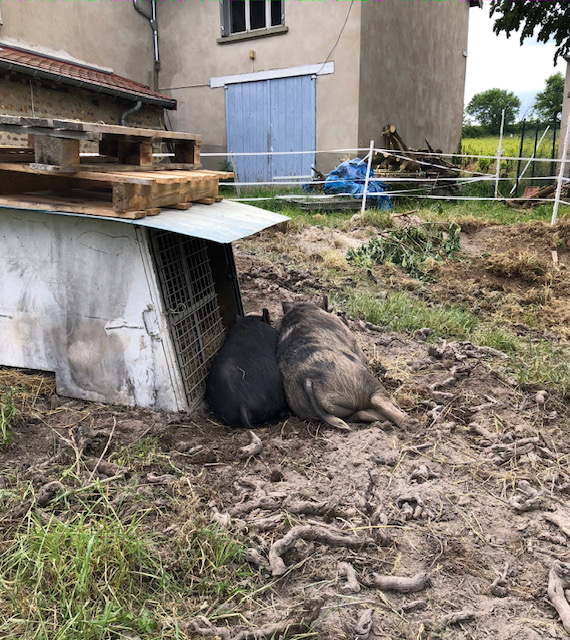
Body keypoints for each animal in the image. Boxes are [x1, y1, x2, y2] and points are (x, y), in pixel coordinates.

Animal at [276, 300, 408, 430]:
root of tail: (307, 381)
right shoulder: (354, 342)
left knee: (357, 415)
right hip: (361, 381)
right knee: (376, 399)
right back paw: (407, 419)